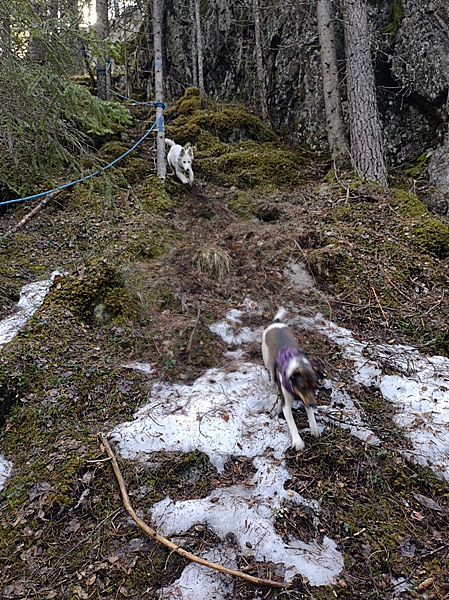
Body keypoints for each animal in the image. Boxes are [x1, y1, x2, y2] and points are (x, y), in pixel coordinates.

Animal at [260, 310, 324, 450]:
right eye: (303, 387)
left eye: (315, 387)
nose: (313, 404)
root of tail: (276, 322)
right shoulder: (288, 404)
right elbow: (292, 422)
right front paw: (298, 441)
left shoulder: (307, 398)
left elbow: (309, 411)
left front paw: (314, 426)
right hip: (266, 357)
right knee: (271, 371)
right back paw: (272, 382)